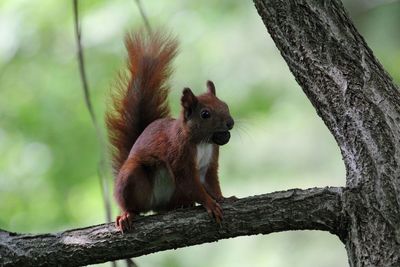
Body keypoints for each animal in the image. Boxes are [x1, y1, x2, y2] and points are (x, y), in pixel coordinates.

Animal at [106, 30, 236, 232]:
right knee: (132, 204)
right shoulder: (178, 155)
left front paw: (223, 198)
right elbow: (190, 182)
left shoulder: (210, 161)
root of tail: (156, 204)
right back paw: (127, 214)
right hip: (131, 179)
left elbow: (210, 182)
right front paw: (210, 204)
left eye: (225, 105)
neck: (202, 141)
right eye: (205, 114)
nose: (230, 123)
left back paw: (182, 205)